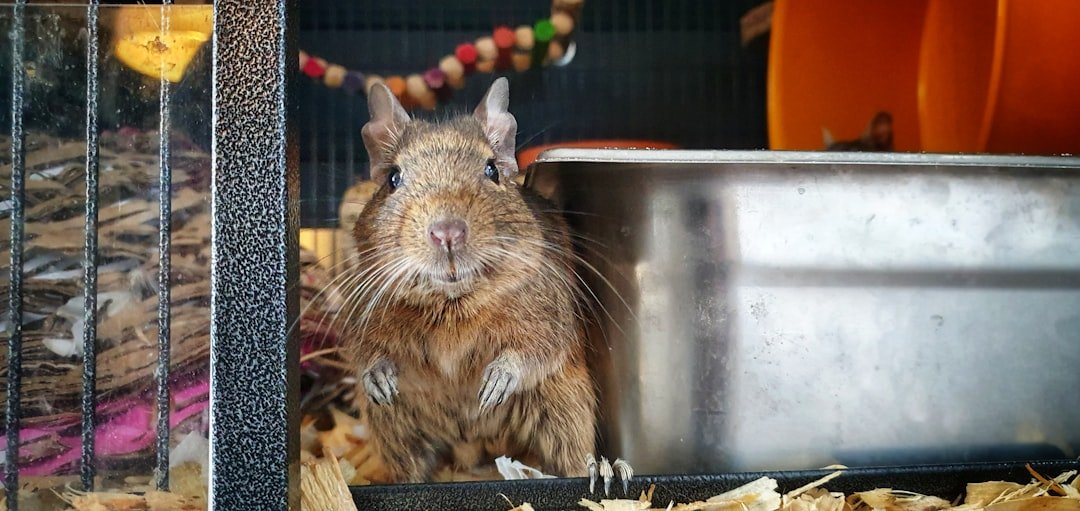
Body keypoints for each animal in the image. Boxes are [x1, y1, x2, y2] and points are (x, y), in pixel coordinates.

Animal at [343, 77, 598, 483]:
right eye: (393, 179)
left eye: (492, 170)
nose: (447, 233)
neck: (452, 302)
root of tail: (472, 445)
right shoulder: (362, 316)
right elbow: (366, 353)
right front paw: (379, 380)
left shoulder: (548, 320)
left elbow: (530, 352)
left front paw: (493, 386)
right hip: (393, 428)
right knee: (409, 466)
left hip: (566, 406)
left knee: (570, 457)